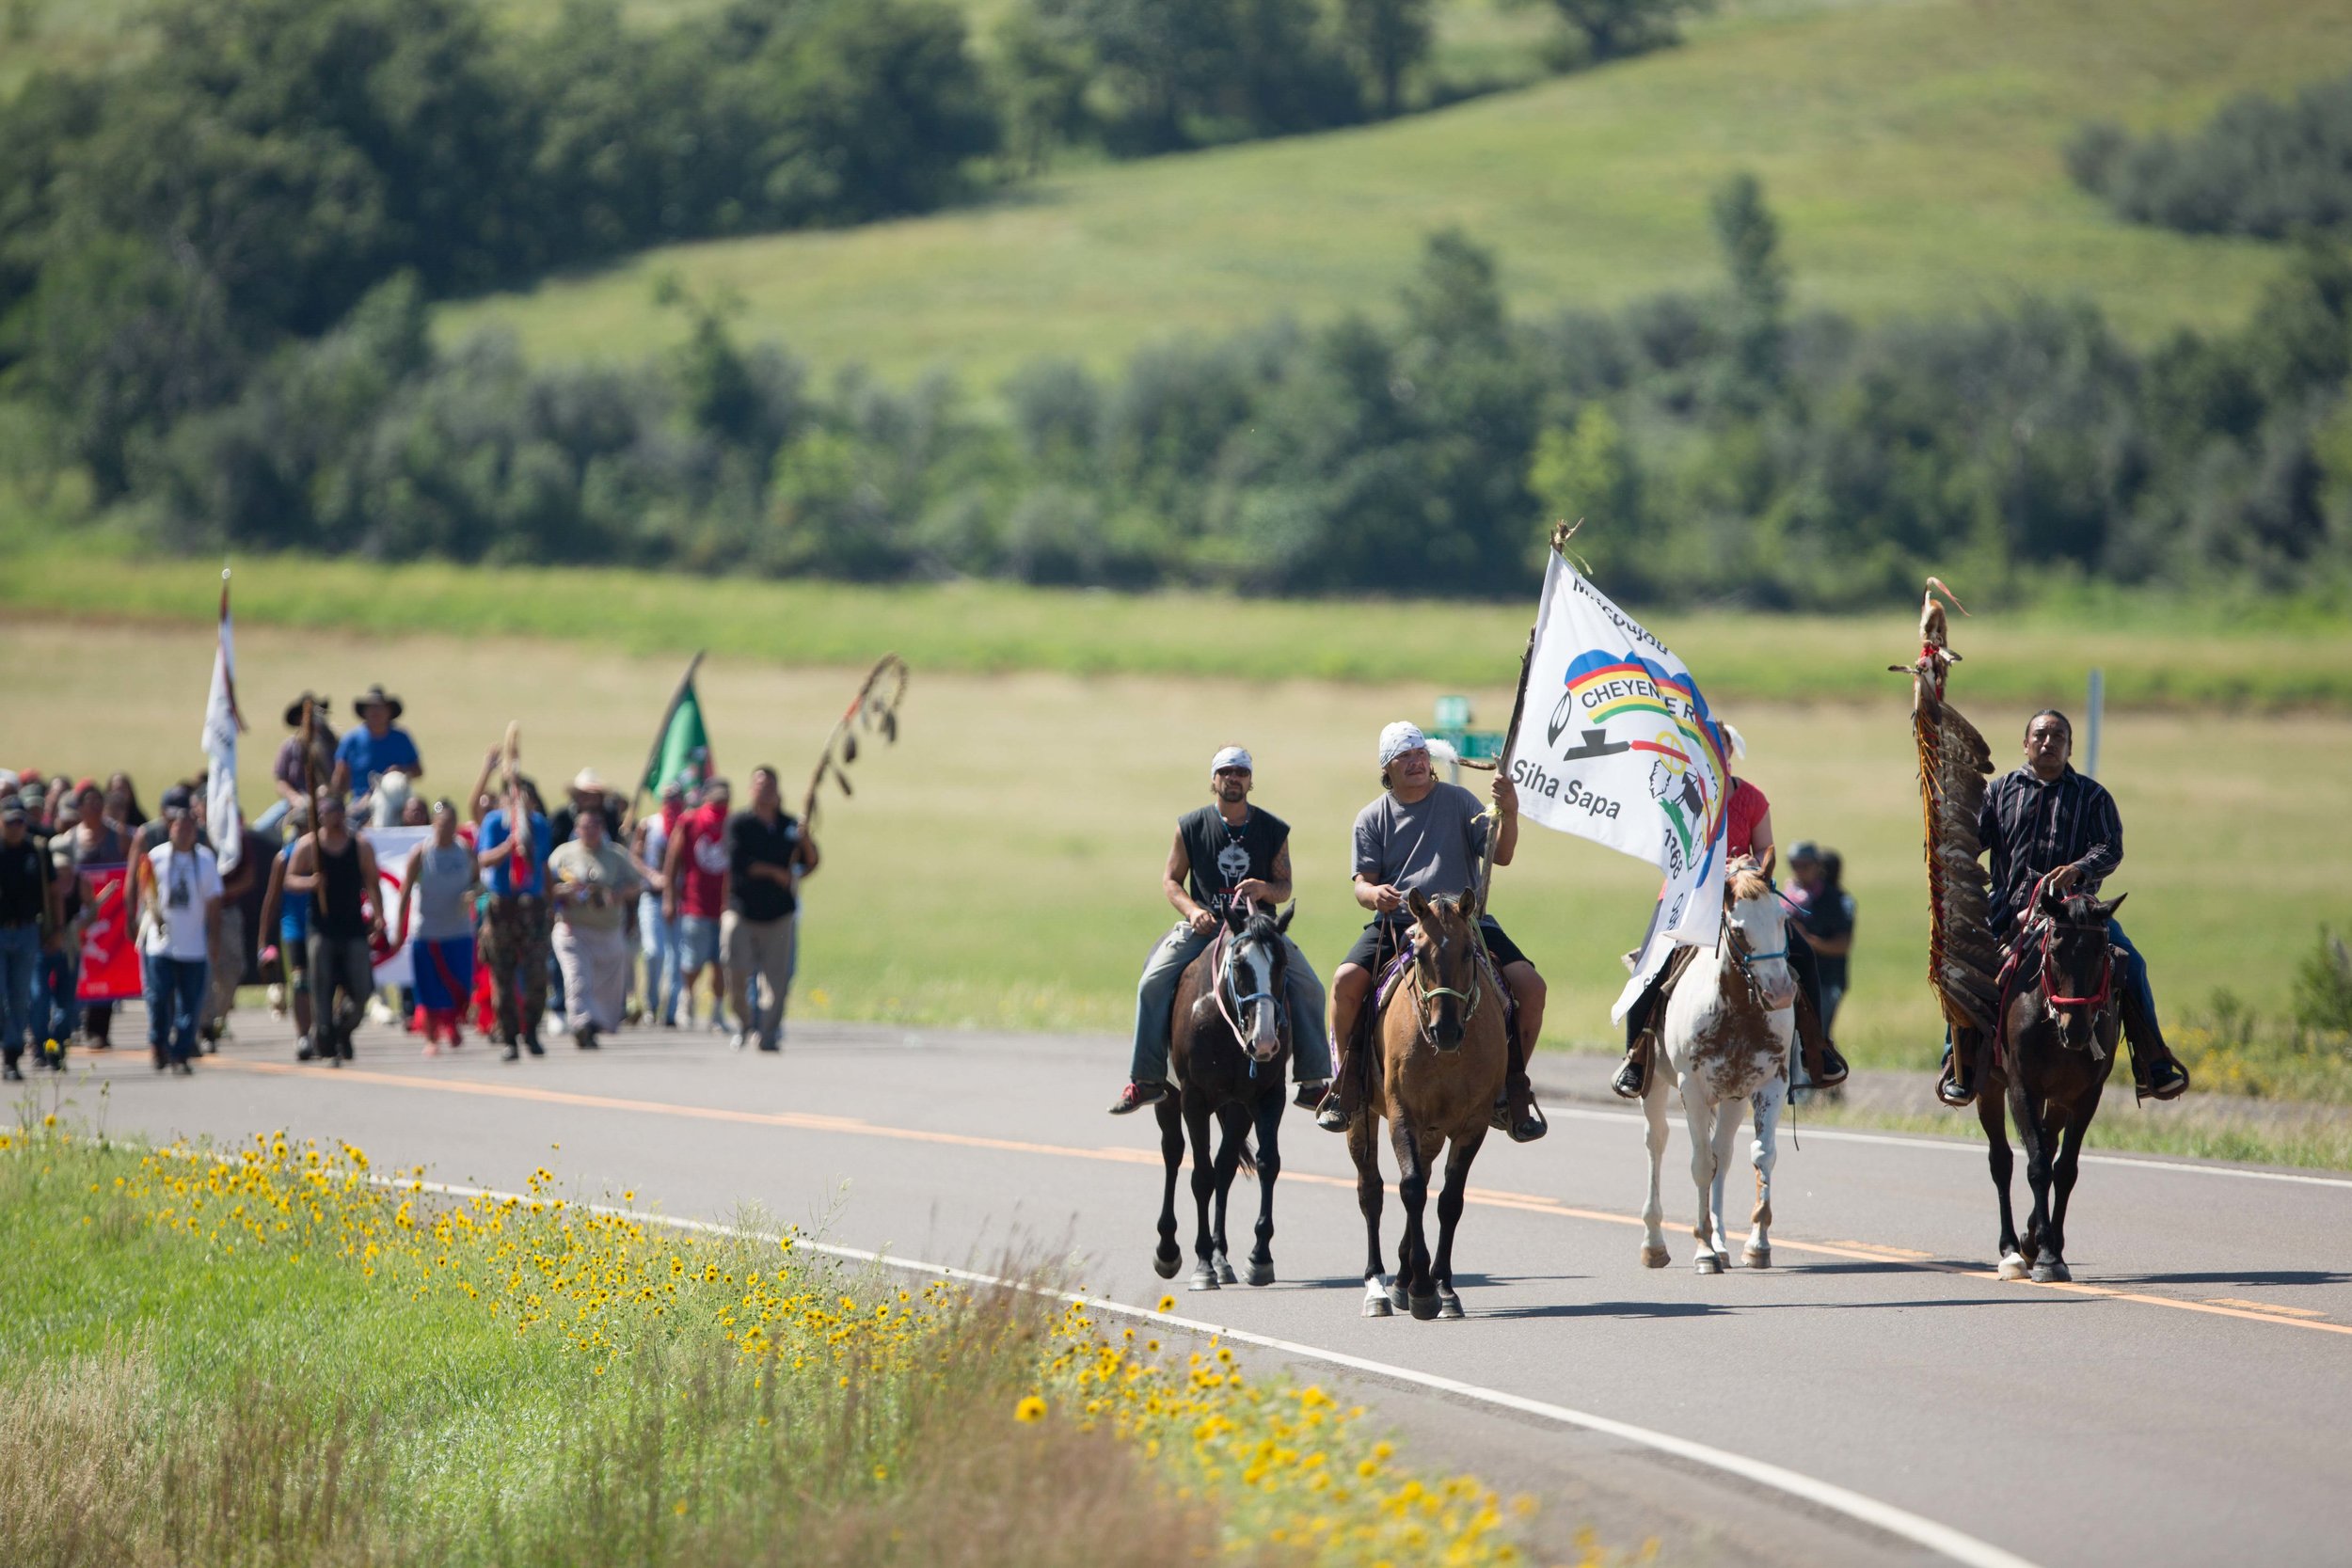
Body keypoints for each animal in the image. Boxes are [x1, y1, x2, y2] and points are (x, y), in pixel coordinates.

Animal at [1152, 902, 1298, 1297]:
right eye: (1239, 964)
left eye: (1282, 963)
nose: (1265, 1040)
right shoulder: (1194, 1099)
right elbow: (1199, 1175)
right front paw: (1202, 1264)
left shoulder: (1268, 1096)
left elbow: (1268, 1164)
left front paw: (1259, 1258)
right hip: (1168, 1098)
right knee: (1173, 1155)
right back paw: (1169, 1250)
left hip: (1235, 1109)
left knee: (1225, 1165)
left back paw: (1222, 1258)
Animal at [1345, 893, 1505, 1325]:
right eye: (1418, 953)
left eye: (1468, 951)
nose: (1445, 1031)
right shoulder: (1402, 1115)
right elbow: (1411, 1189)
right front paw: (1421, 1292)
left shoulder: (1473, 1124)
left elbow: (1449, 1200)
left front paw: (1443, 1289)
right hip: (1360, 1118)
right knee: (1371, 1192)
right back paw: (1378, 1287)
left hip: (1433, 1133)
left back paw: (1402, 1279)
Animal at [1646, 860, 1788, 1278]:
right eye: (1738, 929)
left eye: (1783, 918)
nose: (1781, 992)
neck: (1737, 1008)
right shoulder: (1691, 1089)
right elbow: (1698, 1165)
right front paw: (1703, 1250)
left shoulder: (1770, 1083)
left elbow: (1762, 1155)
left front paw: (1757, 1244)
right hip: (1654, 1086)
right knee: (1657, 1142)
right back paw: (1654, 1245)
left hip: (1733, 1099)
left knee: (1722, 1155)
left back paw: (1724, 1245)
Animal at [1976, 883, 2126, 1288]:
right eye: (2056, 949)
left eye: (2100, 952)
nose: (2077, 1029)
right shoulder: (2021, 1088)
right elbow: (2039, 1166)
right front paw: (2044, 1255)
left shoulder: (2085, 1096)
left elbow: (2065, 1169)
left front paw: (2050, 1247)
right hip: (1988, 1088)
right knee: (2002, 1161)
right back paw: (2012, 1249)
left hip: (2058, 1100)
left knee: (2047, 1141)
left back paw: (2028, 1238)